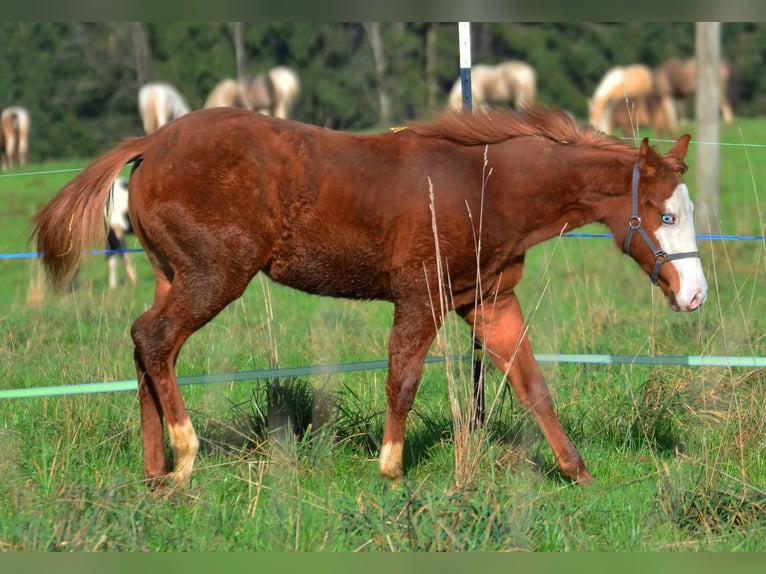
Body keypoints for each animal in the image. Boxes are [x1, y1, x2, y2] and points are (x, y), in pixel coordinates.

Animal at [31, 105, 707, 490]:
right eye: (667, 216)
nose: (696, 295)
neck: (486, 187)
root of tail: (153, 143)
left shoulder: (489, 301)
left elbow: (531, 382)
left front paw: (578, 472)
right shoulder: (421, 295)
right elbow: (402, 377)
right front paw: (391, 469)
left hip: (173, 274)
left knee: (148, 346)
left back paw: (155, 470)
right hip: (214, 275)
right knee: (155, 338)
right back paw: (185, 454)